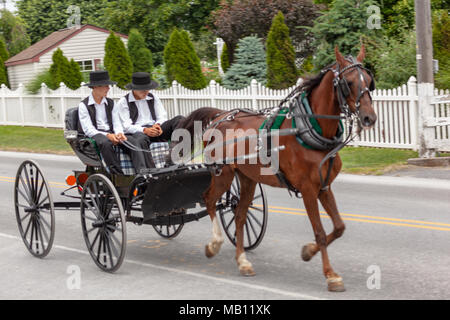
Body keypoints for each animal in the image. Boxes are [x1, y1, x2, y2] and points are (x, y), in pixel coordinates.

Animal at [176, 45, 376, 292]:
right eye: (348, 82)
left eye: (369, 80)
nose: (369, 118)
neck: (309, 129)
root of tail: (219, 115)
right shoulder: (308, 189)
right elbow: (320, 232)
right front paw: (330, 275)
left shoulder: (324, 187)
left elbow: (339, 227)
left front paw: (307, 252)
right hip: (223, 174)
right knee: (209, 200)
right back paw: (214, 244)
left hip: (247, 178)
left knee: (239, 215)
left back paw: (242, 261)